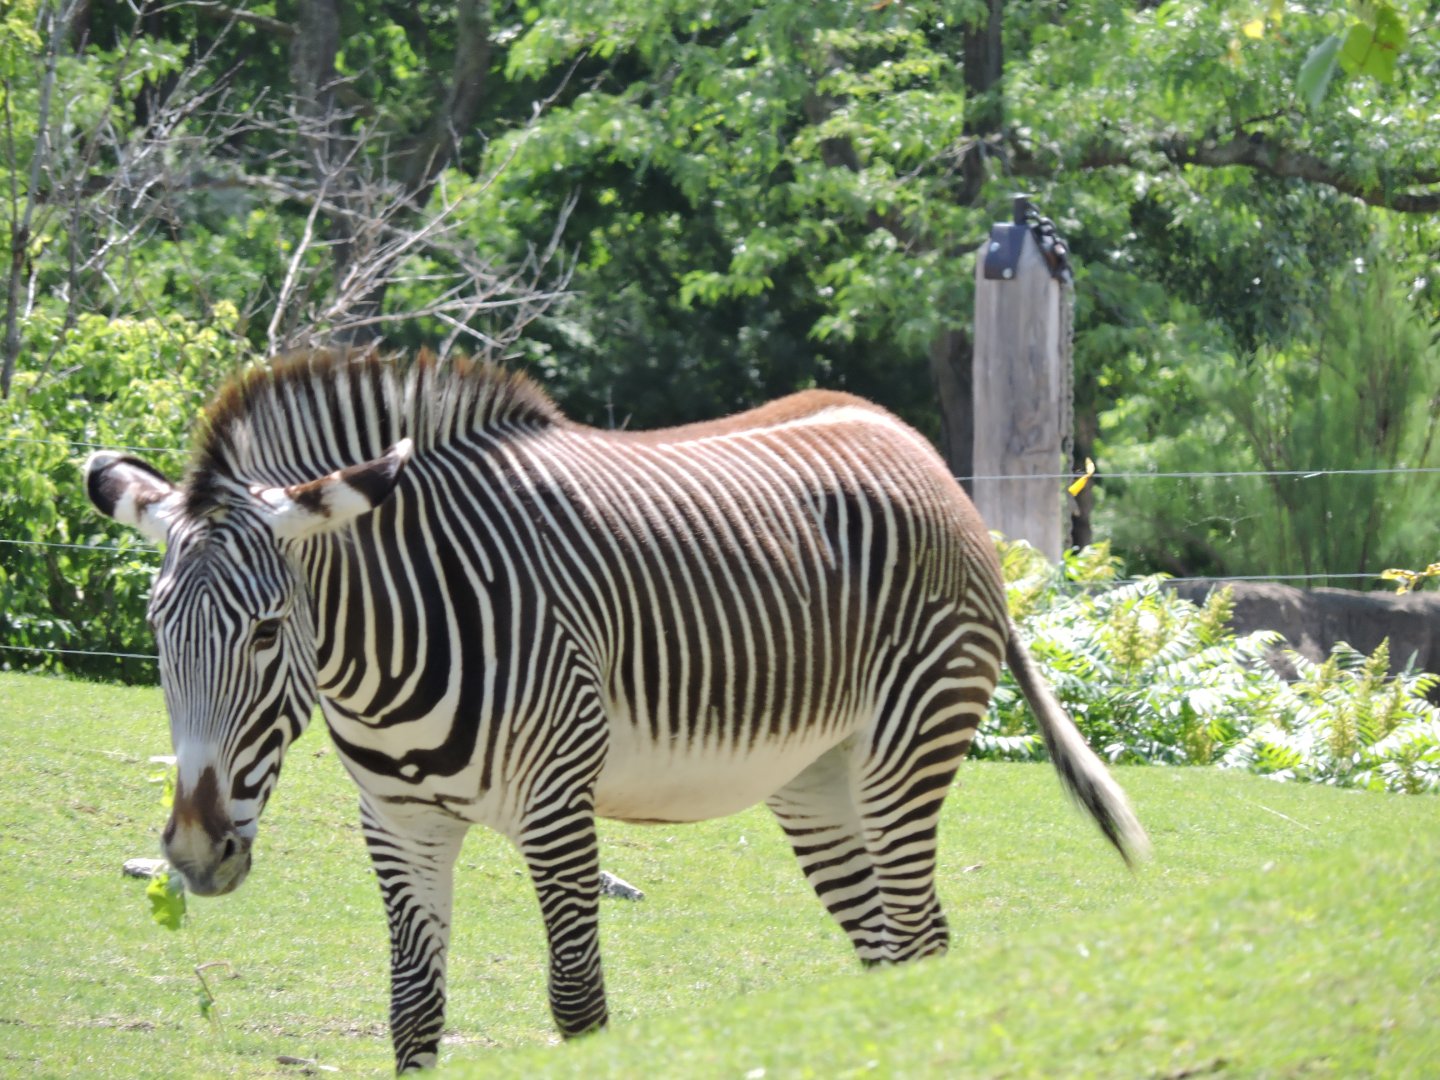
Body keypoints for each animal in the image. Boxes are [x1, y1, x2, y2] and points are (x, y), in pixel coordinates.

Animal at [86, 349, 1147, 1072]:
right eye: (157, 626)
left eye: (268, 632)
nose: (192, 853)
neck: (386, 657)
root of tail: (915, 445)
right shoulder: (398, 822)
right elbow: (415, 1012)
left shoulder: (557, 808)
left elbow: (577, 1002)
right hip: (818, 781)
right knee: (890, 950)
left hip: (906, 750)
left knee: (924, 940)